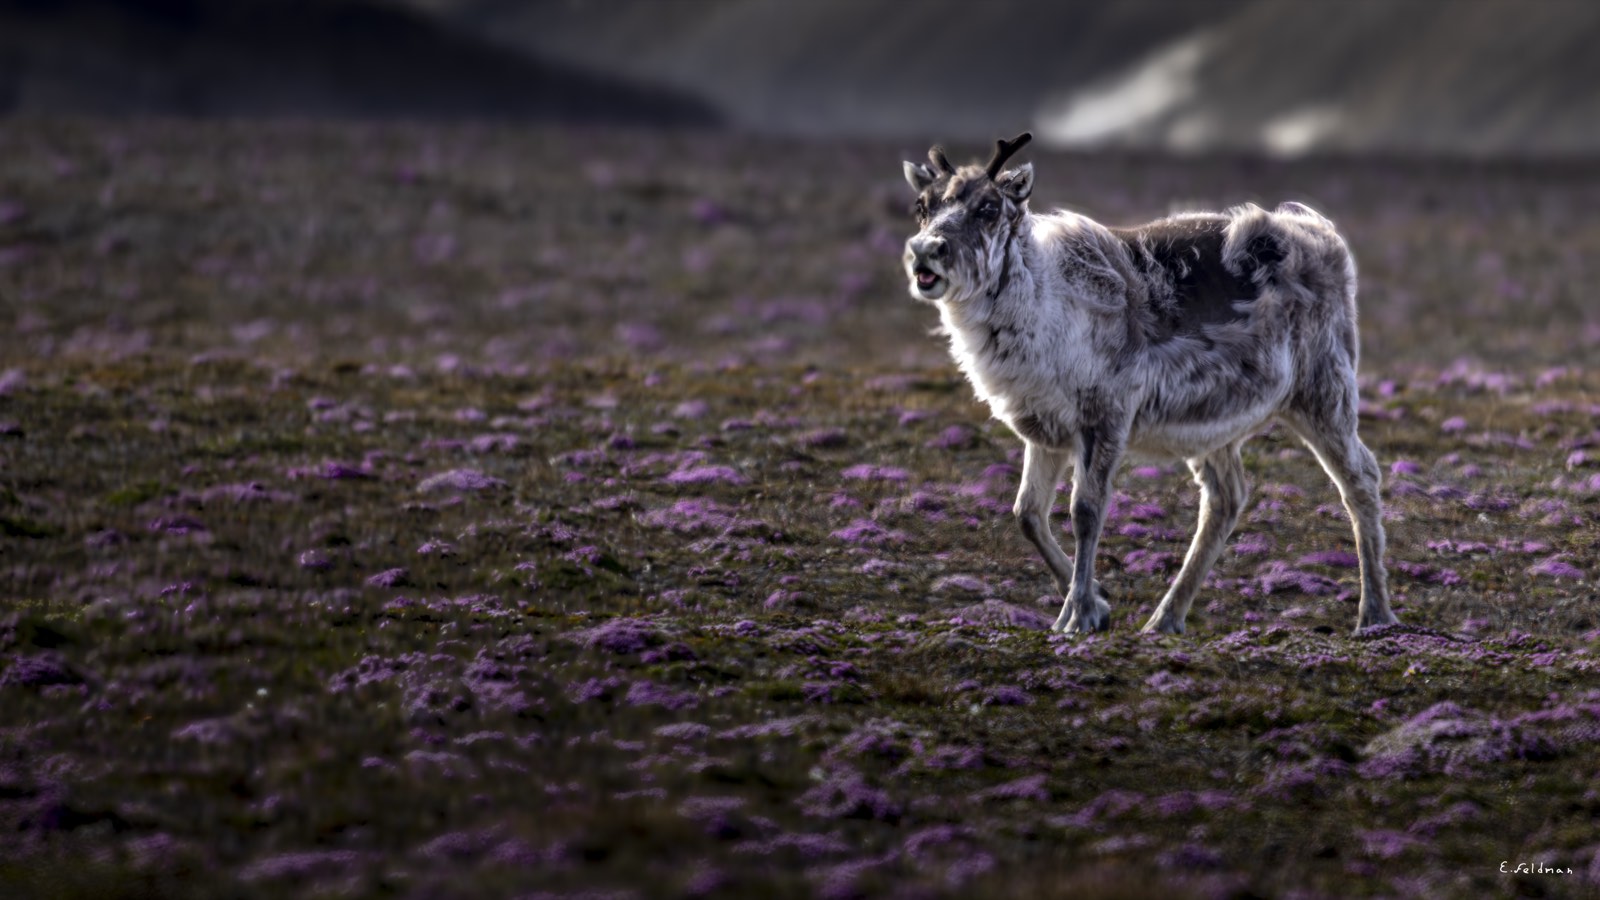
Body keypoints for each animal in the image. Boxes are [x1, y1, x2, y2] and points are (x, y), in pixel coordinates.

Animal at [900, 132, 1396, 635]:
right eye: (922, 206)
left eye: (987, 207)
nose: (924, 250)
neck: (1038, 299)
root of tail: (1325, 235)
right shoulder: (1044, 428)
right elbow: (1027, 514)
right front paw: (1096, 601)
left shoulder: (1105, 416)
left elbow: (1085, 511)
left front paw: (1079, 613)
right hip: (1213, 423)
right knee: (1226, 498)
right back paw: (1165, 618)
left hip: (1323, 390)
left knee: (1360, 478)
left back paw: (1374, 614)